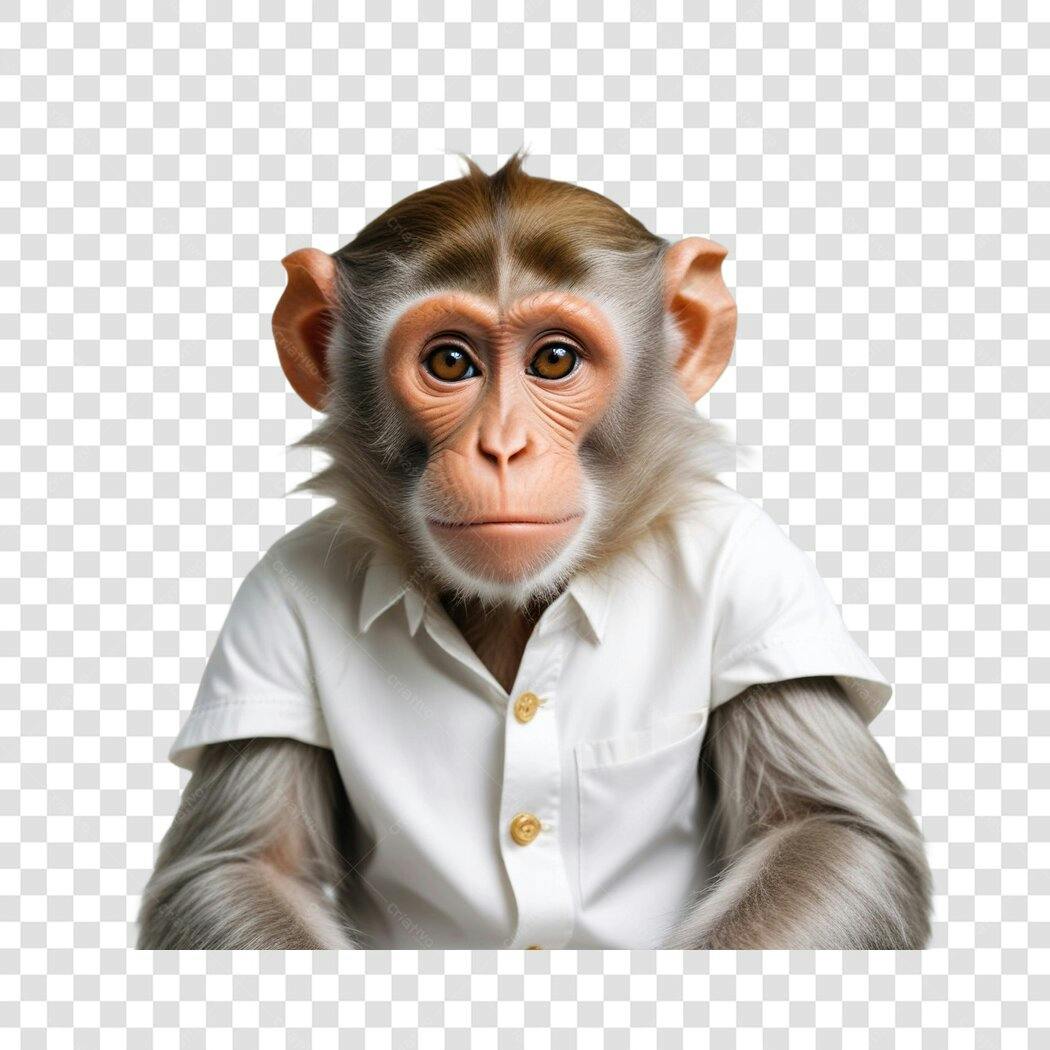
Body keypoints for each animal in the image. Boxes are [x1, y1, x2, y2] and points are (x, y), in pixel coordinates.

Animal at [138, 153, 931, 950]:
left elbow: (829, 832)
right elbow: (236, 868)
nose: (502, 447)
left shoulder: (760, 571)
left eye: (553, 360)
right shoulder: (266, 600)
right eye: (449, 362)